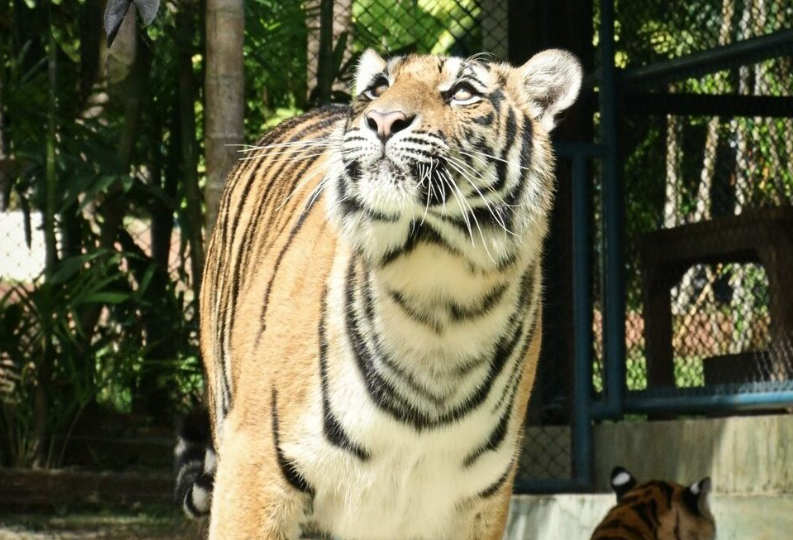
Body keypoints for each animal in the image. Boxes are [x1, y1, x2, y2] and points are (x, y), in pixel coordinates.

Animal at [176, 48, 583, 540]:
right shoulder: (255, 465)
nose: (384, 120)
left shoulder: (478, 503)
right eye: (377, 89)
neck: (437, 297)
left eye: (463, 92)